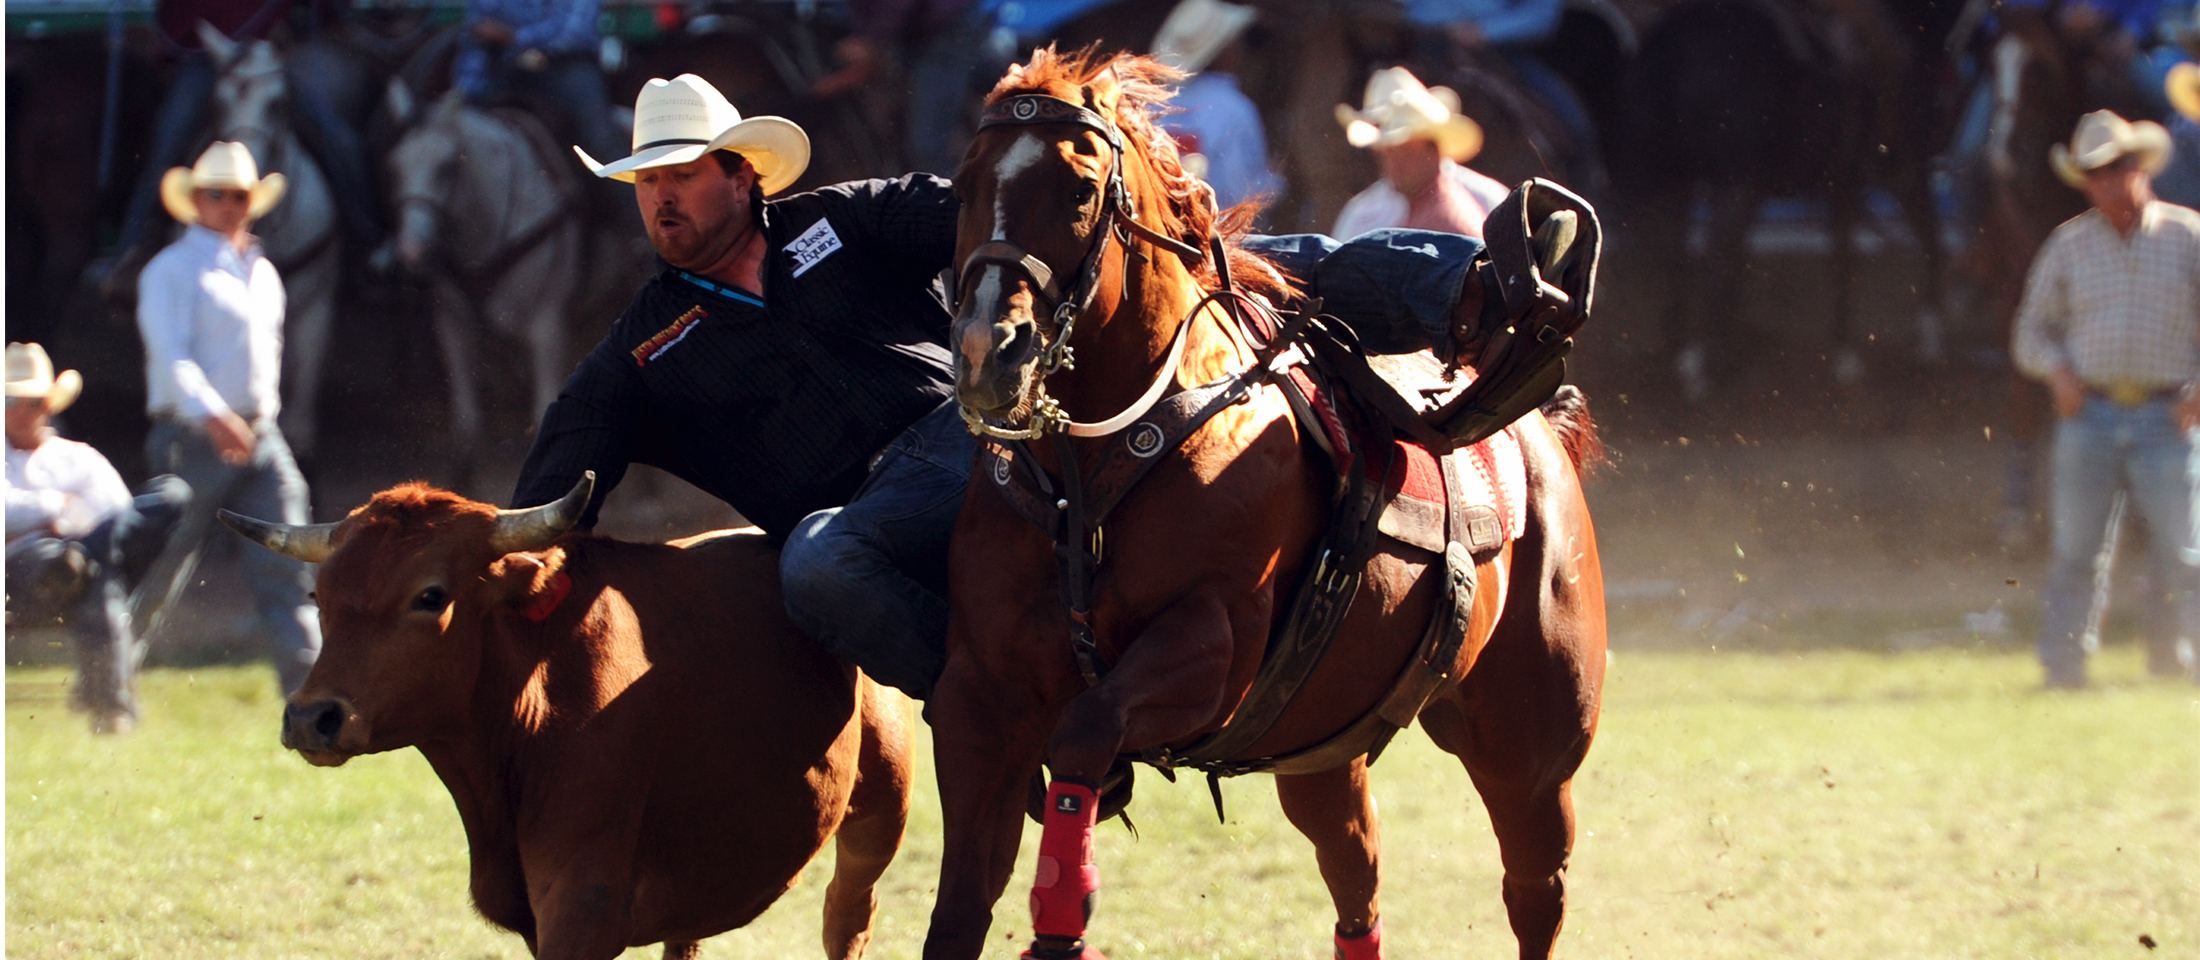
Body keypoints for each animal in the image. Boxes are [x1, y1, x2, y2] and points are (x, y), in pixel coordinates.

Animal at [937, 50, 1610, 960]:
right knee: (1357, 879)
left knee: (1536, 891)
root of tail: (1543, 444)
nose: (986, 350)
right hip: (1323, 757)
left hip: (1531, 754)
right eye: (965, 185)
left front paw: (1062, 917)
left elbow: (1084, 729)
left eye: (1078, 189)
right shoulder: (978, 697)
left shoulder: (1212, 649)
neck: (1092, 465)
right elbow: (960, 905)